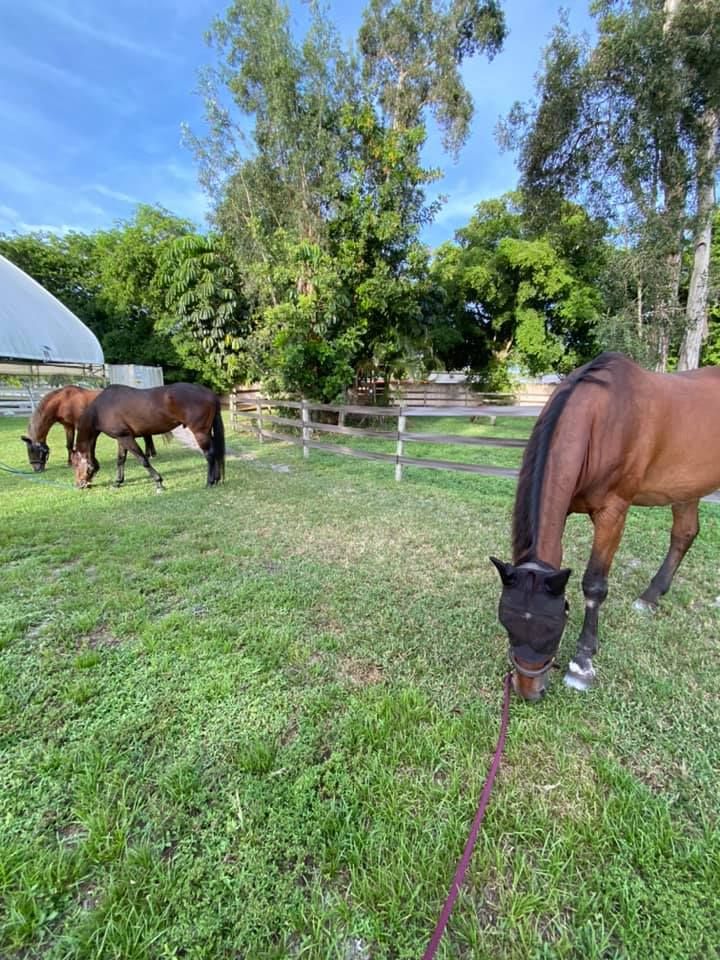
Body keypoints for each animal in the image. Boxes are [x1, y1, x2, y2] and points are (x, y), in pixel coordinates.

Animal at [21, 384, 157, 470]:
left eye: (33, 451)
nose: (36, 469)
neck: (64, 401)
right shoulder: (68, 426)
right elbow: (69, 445)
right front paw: (70, 462)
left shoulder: (78, 425)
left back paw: (149, 454)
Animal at [72, 380, 225, 492]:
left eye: (75, 464)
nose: (79, 485)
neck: (101, 409)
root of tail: (209, 393)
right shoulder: (121, 439)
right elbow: (121, 460)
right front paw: (117, 482)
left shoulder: (126, 437)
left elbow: (143, 459)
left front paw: (159, 483)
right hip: (207, 431)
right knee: (216, 452)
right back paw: (217, 479)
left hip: (200, 432)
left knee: (209, 455)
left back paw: (209, 482)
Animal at [492, 350, 720, 696]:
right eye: (507, 623)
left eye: (554, 626)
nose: (529, 691)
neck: (602, 419)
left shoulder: (614, 512)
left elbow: (594, 585)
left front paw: (582, 662)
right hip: (686, 487)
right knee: (685, 533)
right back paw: (651, 597)